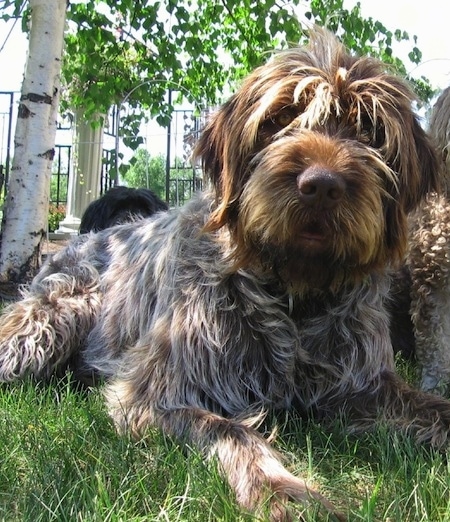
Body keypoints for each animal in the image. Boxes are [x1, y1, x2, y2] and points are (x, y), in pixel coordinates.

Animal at [0, 30, 450, 516]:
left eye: (370, 129)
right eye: (280, 117)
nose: (321, 186)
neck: (292, 294)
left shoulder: (359, 388)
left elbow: (436, 408)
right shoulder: (155, 395)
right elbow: (232, 430)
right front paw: (282, 491)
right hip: (49, 323)